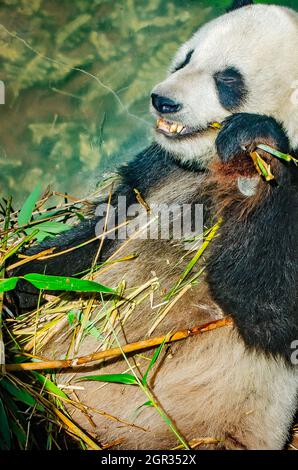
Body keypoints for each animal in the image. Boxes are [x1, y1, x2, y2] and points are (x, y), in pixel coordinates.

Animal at [8, 0, 298, 448]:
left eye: (227, 80)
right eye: (187, 58)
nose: (163, 101)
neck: (208, 167)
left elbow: (270, 309)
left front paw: (255, 144)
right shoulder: (160, 171)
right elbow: (96, 237)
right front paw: (18, 282)